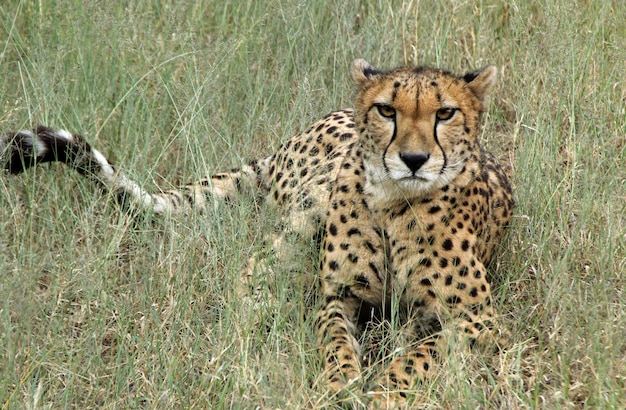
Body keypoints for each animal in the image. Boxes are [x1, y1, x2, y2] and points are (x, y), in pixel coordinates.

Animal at [1, 58, 512, 406]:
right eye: (387, 110)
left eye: (445, 113)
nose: (413, 159)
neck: (392, 204)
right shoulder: (338, 296)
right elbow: (335, 343)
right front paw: (341, 384)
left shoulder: (479, 320)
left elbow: (421, 354)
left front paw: (385, 391)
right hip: (307, 206)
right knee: (251, 279)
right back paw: (232, 352)